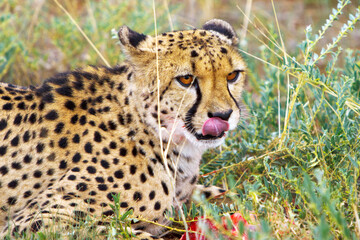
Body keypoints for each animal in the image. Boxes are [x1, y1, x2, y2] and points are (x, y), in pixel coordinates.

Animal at [0, 19, 245, 239]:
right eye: (185, 79)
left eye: (233, 75)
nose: (223, 115)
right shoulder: (33, 221)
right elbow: (122, 232)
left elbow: (224, 192)